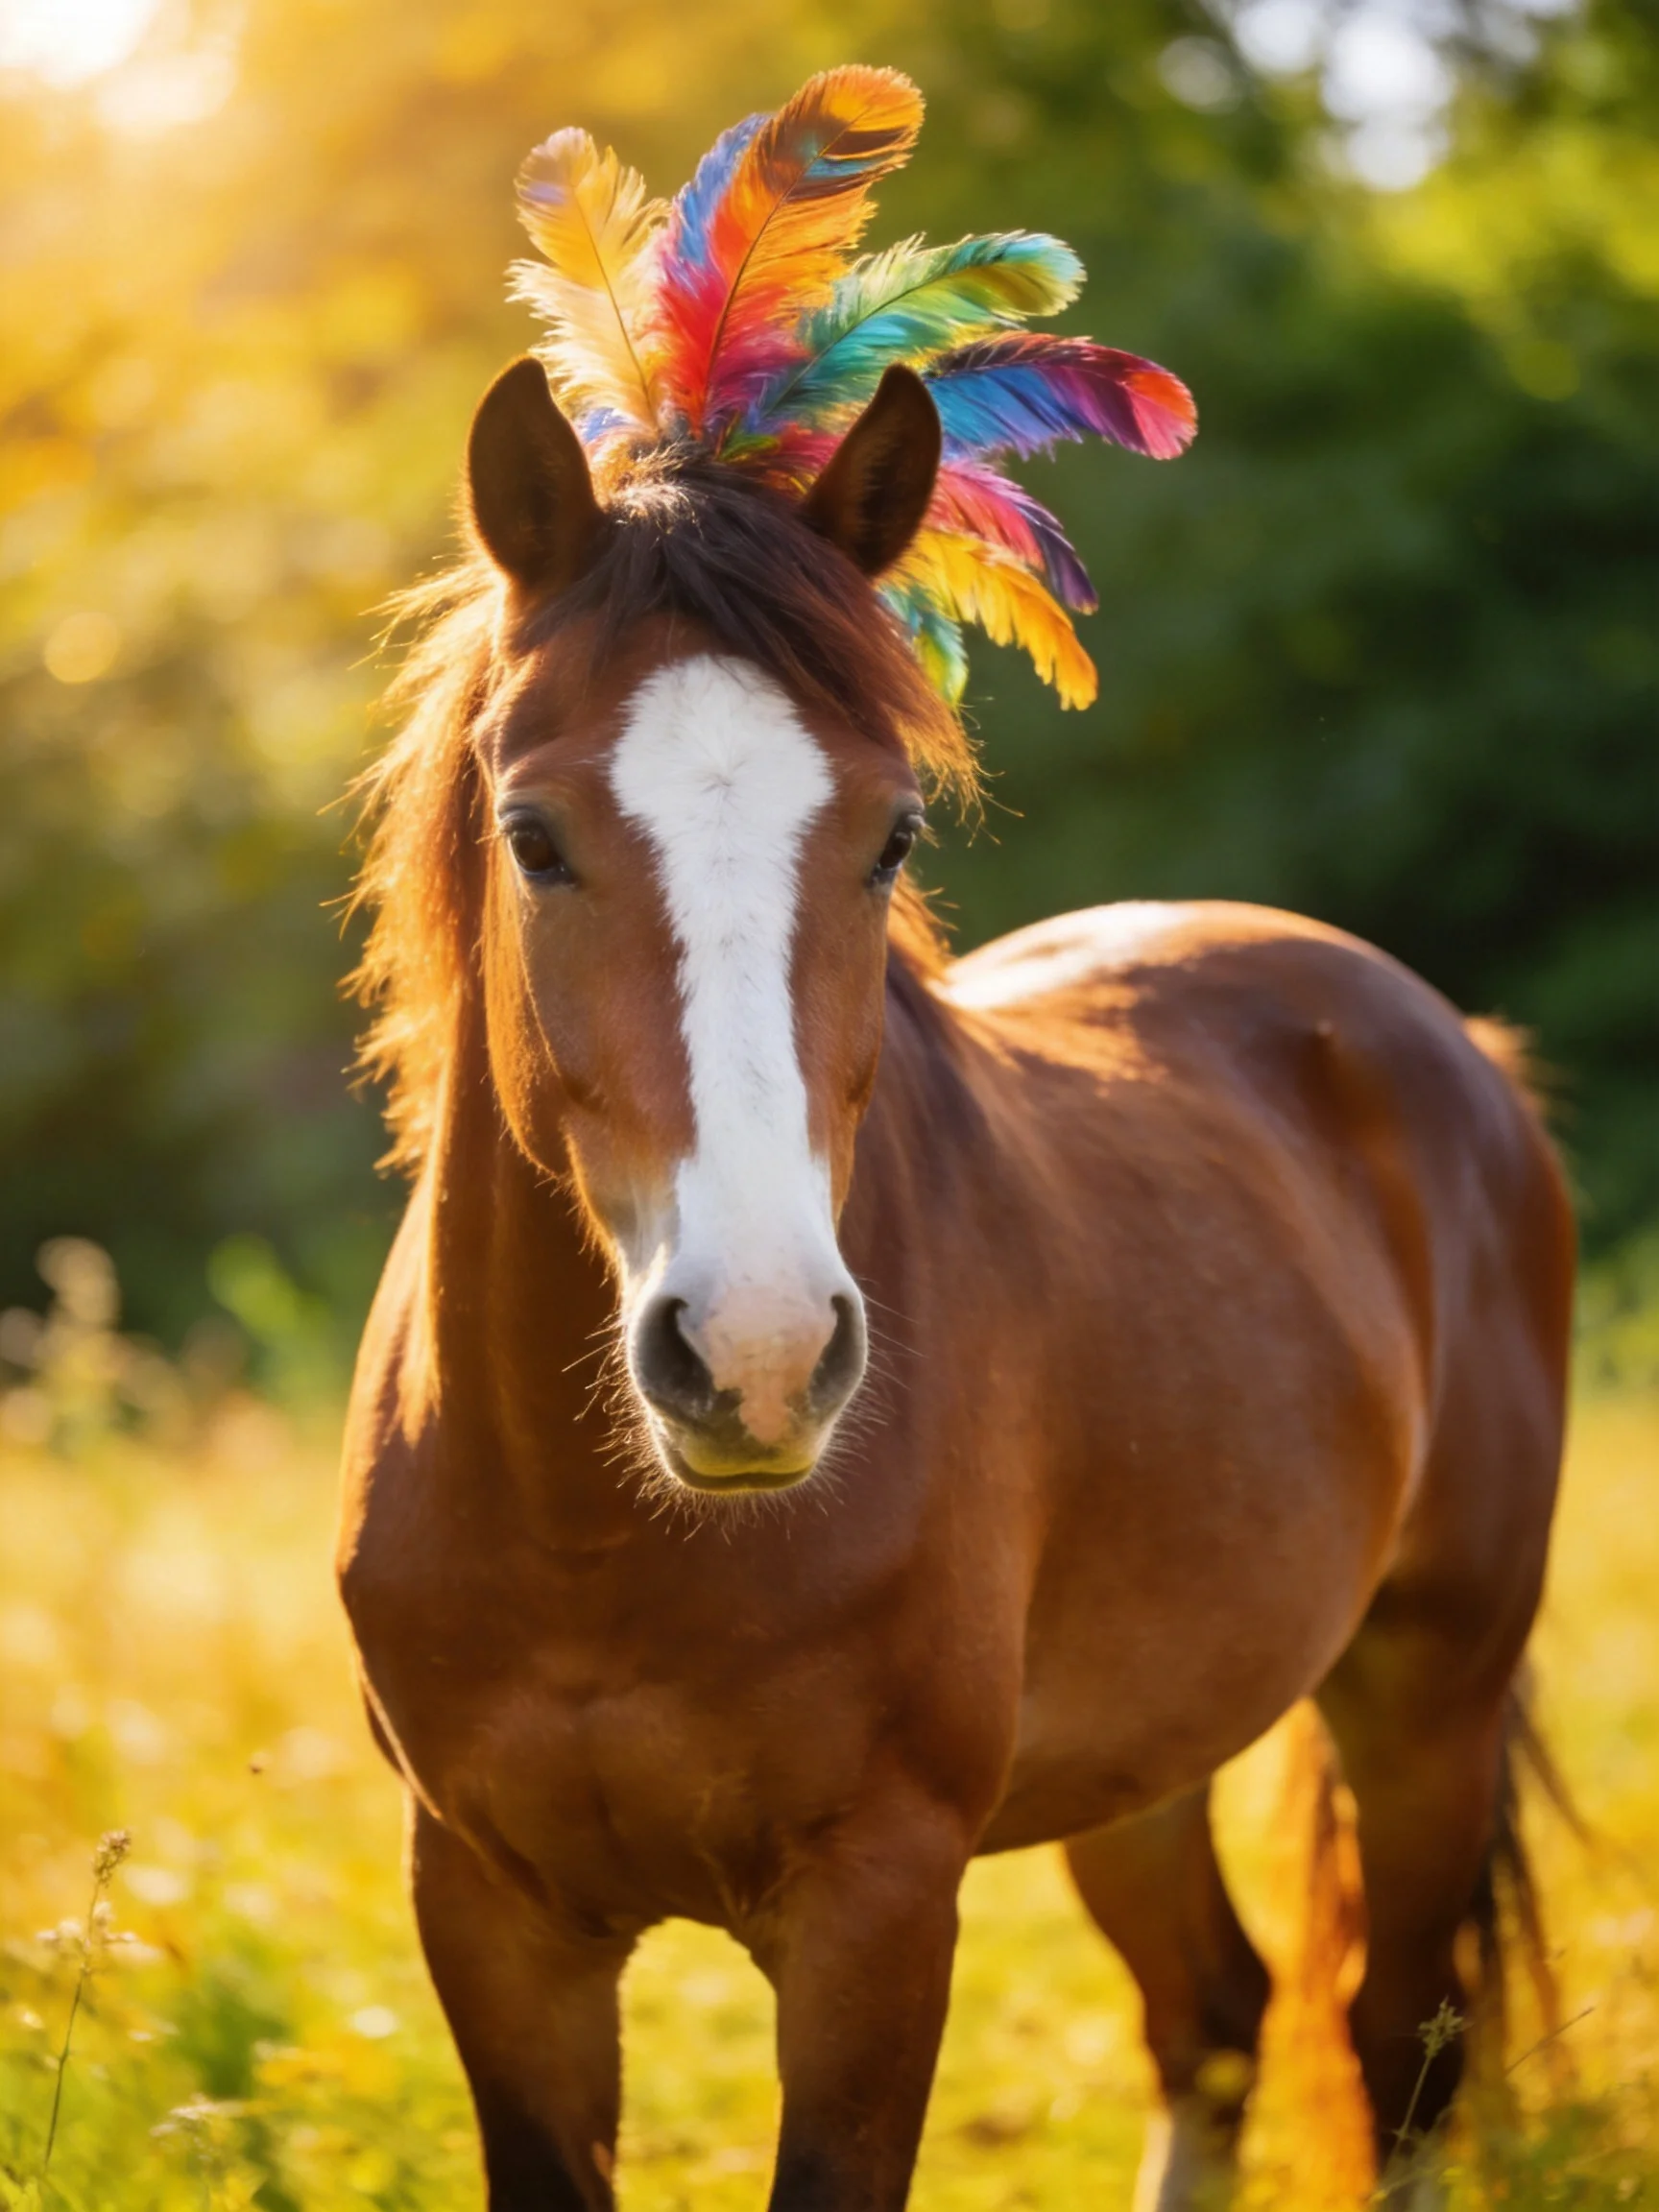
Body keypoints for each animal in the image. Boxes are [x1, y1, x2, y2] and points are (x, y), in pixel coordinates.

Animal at [337, 355, 1575, 2211]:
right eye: (532, 835)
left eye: (891, 833)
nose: (760, 1354)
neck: (592, 1542)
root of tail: (1453, 1046)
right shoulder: (486, 1914)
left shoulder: (878, 1910)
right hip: (1145, 1748)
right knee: (1212, 2018)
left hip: (1429, 1693)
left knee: (1392, 2041)